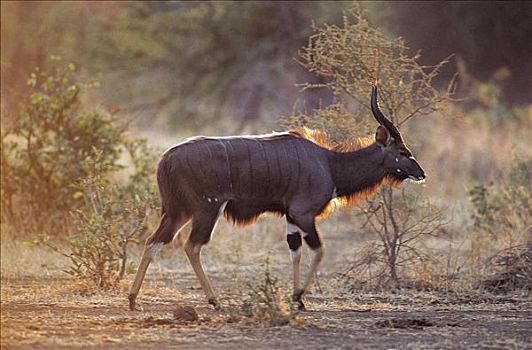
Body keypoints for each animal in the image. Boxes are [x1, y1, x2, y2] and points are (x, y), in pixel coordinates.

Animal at [128, 85, 424, 308]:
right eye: (402, 152)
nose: (421, 173)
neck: (330, 164)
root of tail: (166, 159)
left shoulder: (291, 217)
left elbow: (295, 251)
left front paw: (296, 298)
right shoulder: (304, 214)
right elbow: (319, 249)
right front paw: (299, 297)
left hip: (177, 212)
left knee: (154, 242)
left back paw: (133, 299)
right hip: (206, 210)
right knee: (192, 246)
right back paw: (215, 301)